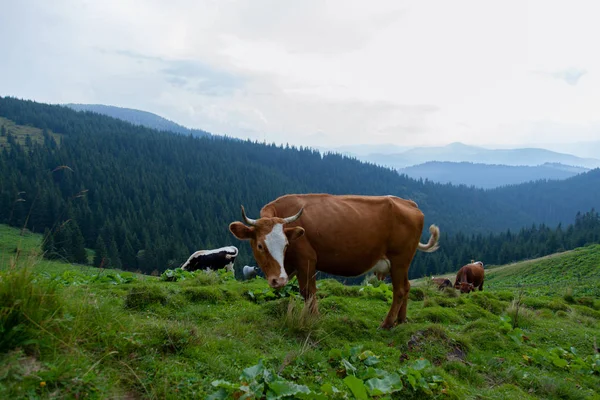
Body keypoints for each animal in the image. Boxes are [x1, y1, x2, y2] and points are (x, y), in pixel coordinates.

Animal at [227, 193, 438, 328]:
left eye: (286, 245)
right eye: (260, 245)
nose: (279, 280)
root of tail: (410, 203)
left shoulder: (307, 260)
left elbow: (309, 292)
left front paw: (314, 318)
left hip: (399, 259)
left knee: (400, 290)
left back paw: (387, 324)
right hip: (403, 263)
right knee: (407, 286)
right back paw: (401, 320)